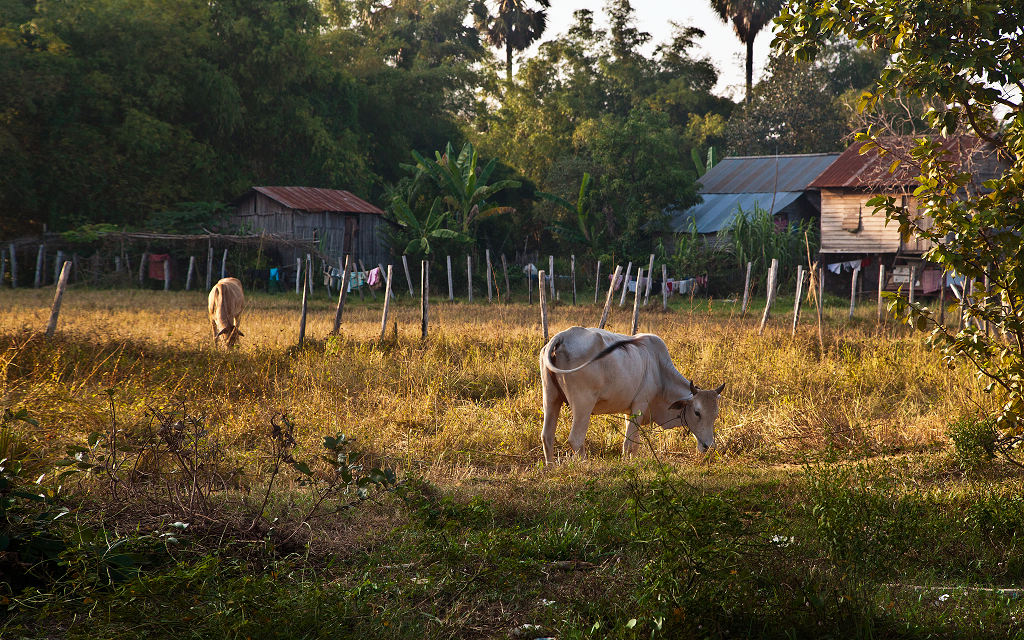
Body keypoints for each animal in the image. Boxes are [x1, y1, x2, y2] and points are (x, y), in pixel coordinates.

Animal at [540, 327, 724, 460]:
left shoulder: (630, 412)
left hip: (550, 398)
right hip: (583, 405)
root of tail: (563, 336)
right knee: (576, 440)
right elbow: (628, 444)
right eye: (697, 412)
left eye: (715, 415)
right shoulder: (640, 405)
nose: (708, 445)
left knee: (547, 436)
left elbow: (634, 445)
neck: (659, 370)